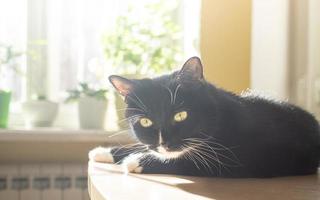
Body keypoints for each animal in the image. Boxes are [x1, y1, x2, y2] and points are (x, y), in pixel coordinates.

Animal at [90, 57, 320, 177]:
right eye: (146, 122)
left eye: (180, 115)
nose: (164, 143)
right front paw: (106, 151)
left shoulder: (236, 157)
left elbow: (193, 161)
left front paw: (137, 160)